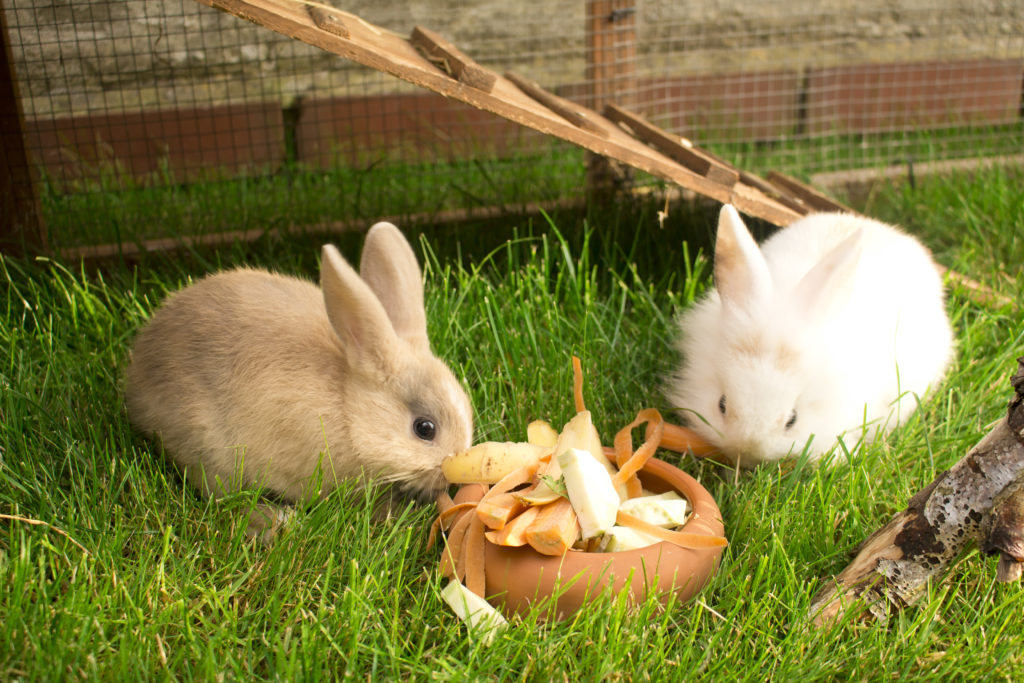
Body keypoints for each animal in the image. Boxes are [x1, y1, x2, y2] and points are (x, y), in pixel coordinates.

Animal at [125, 223, 473, 532]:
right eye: (425, 428)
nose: (452, 475)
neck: (348, 407)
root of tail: (137, 373)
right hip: (210, 451)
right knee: (222, 499)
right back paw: (273, 522)